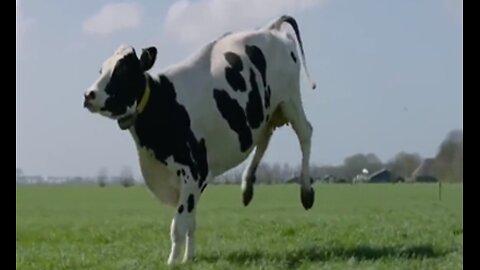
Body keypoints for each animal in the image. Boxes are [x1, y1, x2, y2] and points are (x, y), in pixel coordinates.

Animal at [83, 14, 316, 264]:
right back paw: (247, 187)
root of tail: (269, 29)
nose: (89, 95)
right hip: (267, 111)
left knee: (305, 133)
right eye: (101, 69)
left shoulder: (193, 171)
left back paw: (306, 192)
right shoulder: (195, 180)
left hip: (290, 99)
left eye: (123, 71)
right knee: (264, 139)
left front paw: (172, 263)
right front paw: (188, 259)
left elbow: (178, 226)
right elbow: (191, 223)